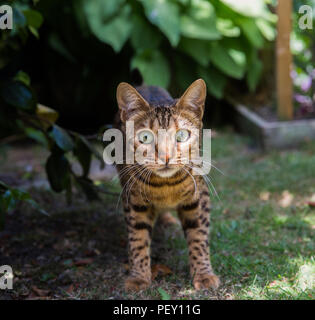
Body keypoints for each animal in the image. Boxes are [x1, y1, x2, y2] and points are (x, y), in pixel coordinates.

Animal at [115, 79, 220, 292]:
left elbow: (199, 236)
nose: (165, 156)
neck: (165, 186)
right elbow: (137, 238)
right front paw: (138, 277)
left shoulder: (199, 197)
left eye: (181, 135)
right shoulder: (133, 199)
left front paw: (203, 274)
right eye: (145, 137)